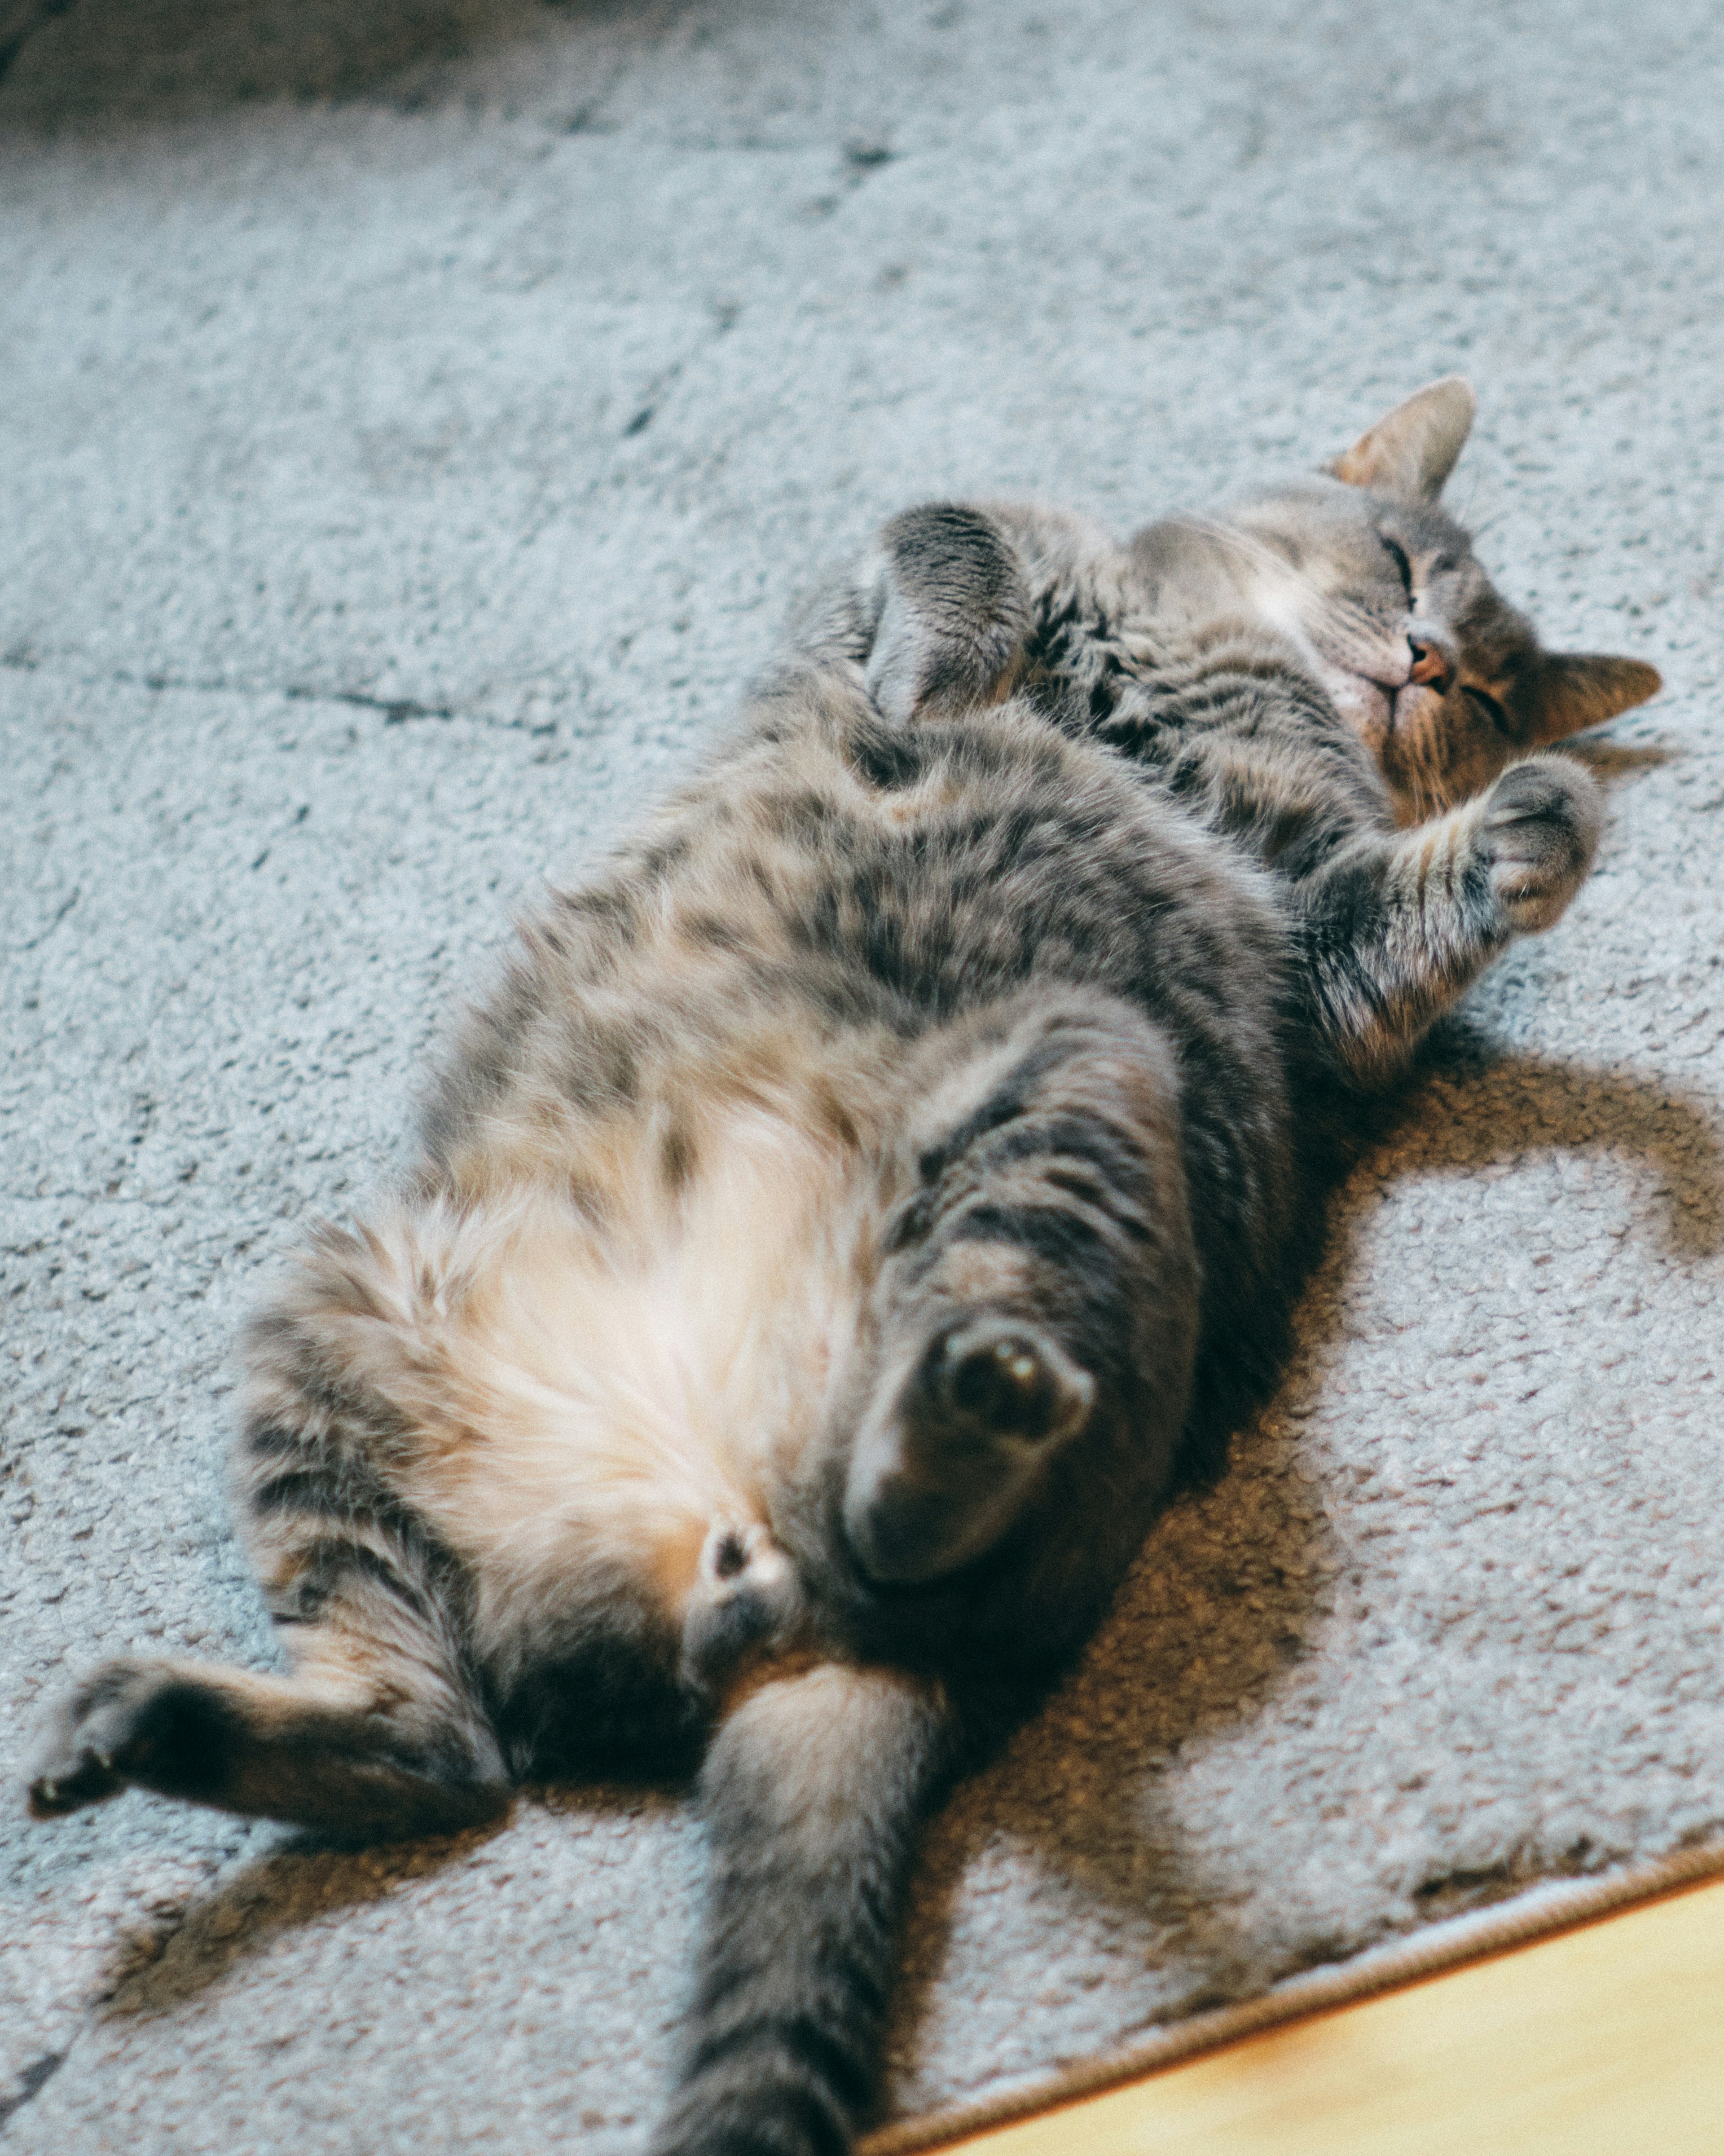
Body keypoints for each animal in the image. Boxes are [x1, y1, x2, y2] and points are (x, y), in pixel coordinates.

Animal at [27, 384, 1655, 2156]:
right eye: (1400, 562)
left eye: (1488, 689)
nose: (1426, 662)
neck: (1210, 650)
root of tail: (740, 1553)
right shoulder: (937, 549)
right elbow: (954, 550)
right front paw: (934, 690)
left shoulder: (1319, 942)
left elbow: (1408, 892)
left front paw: (1542, 820)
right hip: (324, 1312)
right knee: (439, 1740)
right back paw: (134, 1723)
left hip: (1076, 1072)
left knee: (768, 1587)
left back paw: (965, 1400)